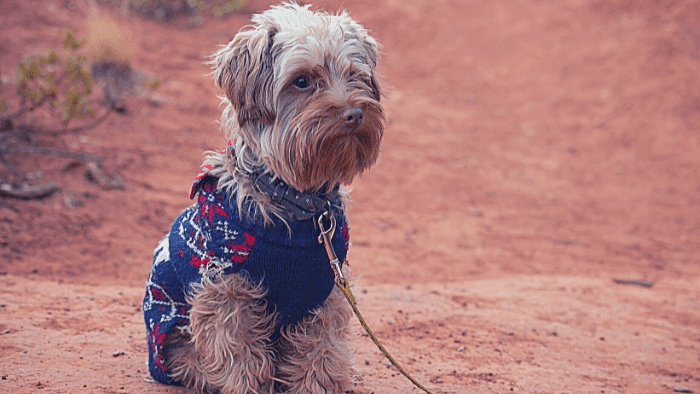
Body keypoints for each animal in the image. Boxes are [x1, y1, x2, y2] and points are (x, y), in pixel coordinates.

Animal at [142, 3, 382, 394]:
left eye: (354, 76)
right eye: (302, 81)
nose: (355, 114)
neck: (299, 203)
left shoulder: (326, 292)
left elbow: (320, 353)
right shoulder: (227, 291)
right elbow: (241, 357)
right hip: (176, 342)